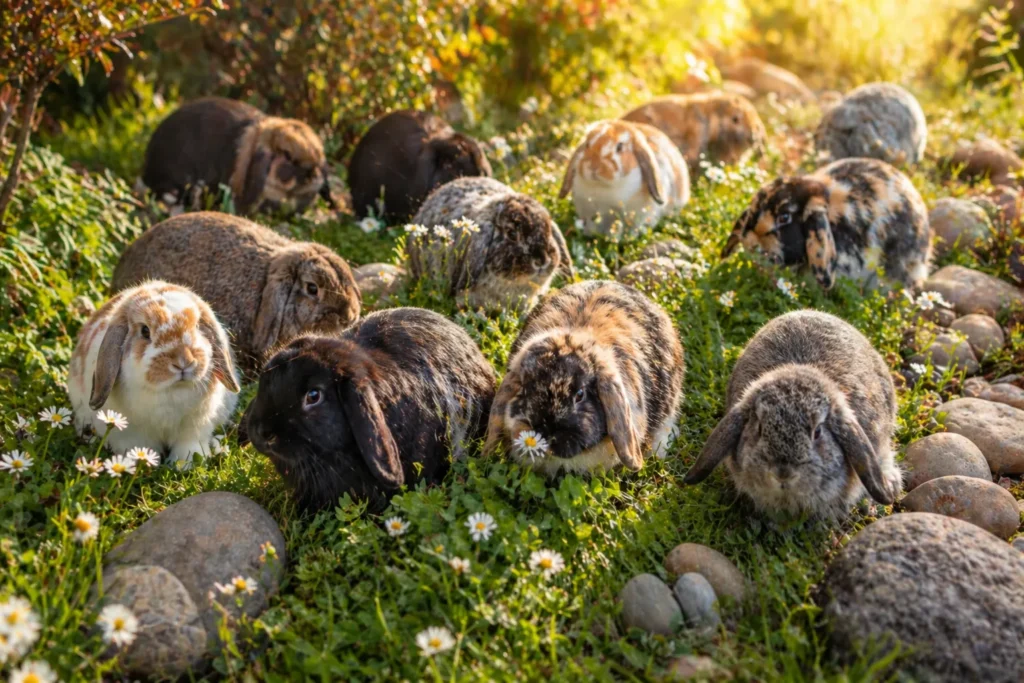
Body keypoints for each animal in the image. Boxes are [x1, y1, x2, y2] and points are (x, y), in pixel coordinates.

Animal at [67, 281, 241, 466]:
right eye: (145, 331)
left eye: (197, 327)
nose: (183, 362)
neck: (171, 391)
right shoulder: (130, 433)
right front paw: (138, 461)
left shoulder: (194, 428)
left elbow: (188, 447)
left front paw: (185, 465)